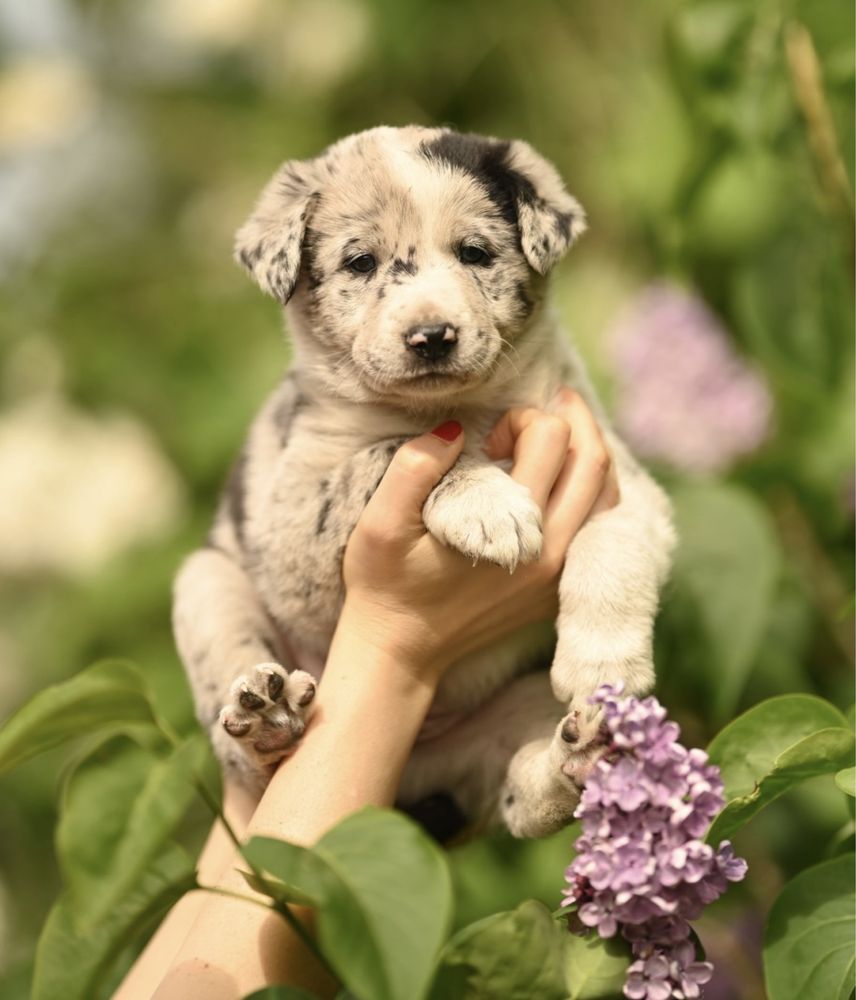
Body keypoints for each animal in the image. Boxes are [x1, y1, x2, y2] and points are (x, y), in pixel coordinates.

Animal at [174, 129, 676, 840]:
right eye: (360, 262)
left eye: (475, 252)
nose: (432, 336)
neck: (462, 409)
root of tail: (412, 769)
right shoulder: (292, 523)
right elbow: (394, 452)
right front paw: (489, 503)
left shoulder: (618, 477)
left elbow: (613, 545)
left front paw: (601, 667)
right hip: (207, 583)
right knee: (249, 750)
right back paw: (266, 720)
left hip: (500, 724)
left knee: (521, 796)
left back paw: (580, 756)